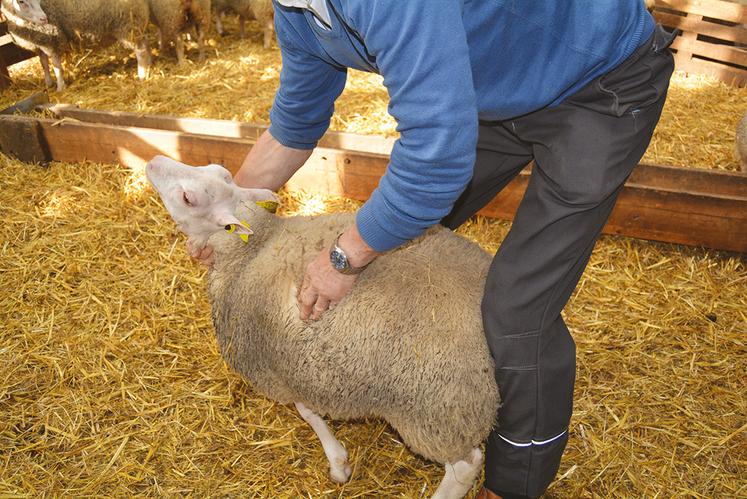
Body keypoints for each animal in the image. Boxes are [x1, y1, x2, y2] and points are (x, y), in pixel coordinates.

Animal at [0, 0, 153, 92]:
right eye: (21, 1)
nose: (44, 19)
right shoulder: (39, 42)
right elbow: (44, 64)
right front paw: (48, 84)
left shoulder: (53, 39)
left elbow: (56, 67)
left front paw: (60, 87)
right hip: (136, 23)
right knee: (146, 42)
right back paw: (149, 64)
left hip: (127, 24)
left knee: (140, 50)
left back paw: (141, 75)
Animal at [143, 154, 500, 498]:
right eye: (219, 170)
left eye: (188, 198)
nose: (153, 161)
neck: (253, 248)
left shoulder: (282, 370)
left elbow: (307, 411)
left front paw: (337, 461)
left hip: (437, 412)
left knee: (466, 465)